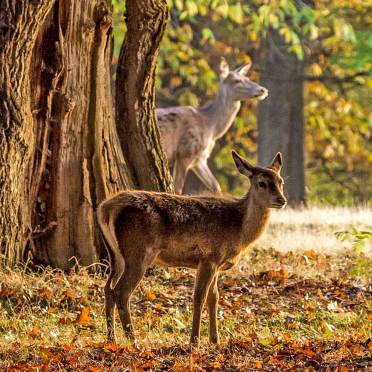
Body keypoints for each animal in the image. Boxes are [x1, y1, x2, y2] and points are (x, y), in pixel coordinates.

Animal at [97, 150, 286, 344]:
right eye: (262, 183)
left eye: (281, 182)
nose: (281, 199)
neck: (239, 228)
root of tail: (106, 208)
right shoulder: (209, 257)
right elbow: (199, 297)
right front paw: (194, 340)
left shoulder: (217, 263)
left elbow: (214, 297)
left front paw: (215, 340)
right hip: (138, 252)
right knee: (121, 292)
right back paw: (133, 340)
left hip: (116, 255)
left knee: (108, 289)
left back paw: (111, 339)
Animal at [157, 58, 268, 195]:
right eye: (237, 80)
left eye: (247, 77)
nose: (262, 90)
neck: (211, 127)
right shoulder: (186, 152)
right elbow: (178, 189)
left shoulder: (201, 158)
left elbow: (216, 186)